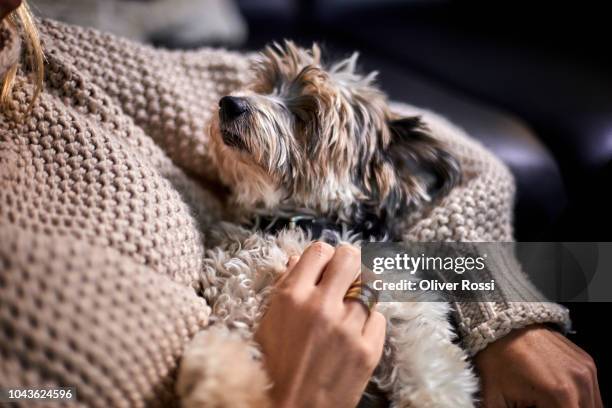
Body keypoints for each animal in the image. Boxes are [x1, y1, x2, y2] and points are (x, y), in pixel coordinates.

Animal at [177, 42, 478, 408]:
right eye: (267, 86)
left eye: (307, 115)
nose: (229, 102)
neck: (301, 222)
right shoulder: (234, 295)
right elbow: (225, 343)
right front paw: (221, 388)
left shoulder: (408, 308)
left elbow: (430, 367)